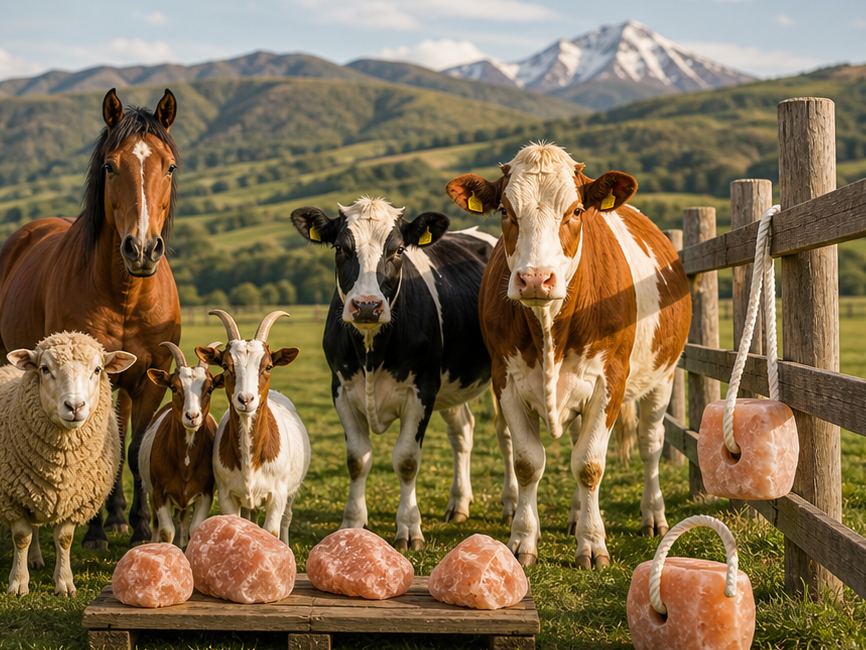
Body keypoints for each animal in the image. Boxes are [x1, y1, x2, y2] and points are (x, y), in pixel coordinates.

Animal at [291, 197, 511, 550]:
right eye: (341, 248)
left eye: (397, 251)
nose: (367, 306)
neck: (371, 353)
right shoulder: (341, 389)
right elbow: (357, 459)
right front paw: (351, 523)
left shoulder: (422, 390)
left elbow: (407, 460)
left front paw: (409, 528)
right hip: (451, 384)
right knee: (462, 431)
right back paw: (459, 503)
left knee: (505, 436)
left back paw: (511, 504)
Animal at [446, 142, 691, 568]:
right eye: (505, 211)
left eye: (576, 211)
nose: (535, 279)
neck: (550, 329)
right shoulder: (506, 379)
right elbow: (528, 463)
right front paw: (523, 540)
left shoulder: (610, 381)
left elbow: (589, 464)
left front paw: (592, 544)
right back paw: (577, 515)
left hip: (662, 376)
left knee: (650, 443)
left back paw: (653, 515)